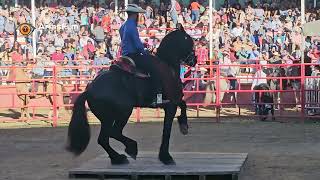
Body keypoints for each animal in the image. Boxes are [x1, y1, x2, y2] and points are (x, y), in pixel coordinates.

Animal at [66, 26, 196, 165]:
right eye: (189, 40)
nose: (195, 60)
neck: (168, 68)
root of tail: (89, 89)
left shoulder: (172, 102)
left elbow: (184, 103)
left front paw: (183, 125)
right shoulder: (171, 105)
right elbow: (167, 131)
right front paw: (166, 156)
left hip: (108, 118)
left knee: (104, 138)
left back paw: (118, 157)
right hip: (121, 113)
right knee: (112, 133)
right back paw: (130, 149)